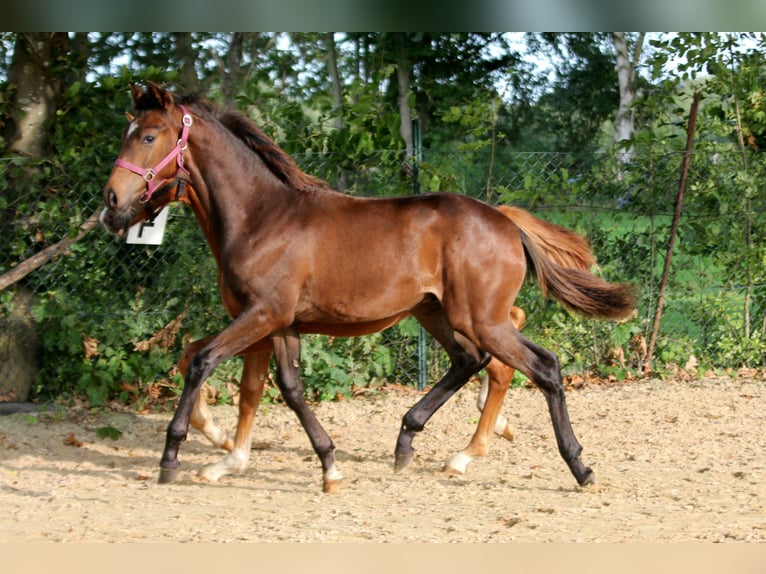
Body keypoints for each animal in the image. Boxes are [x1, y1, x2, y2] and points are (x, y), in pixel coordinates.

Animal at [100, 82, 636, 496]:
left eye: (148, 136)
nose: (111, 202)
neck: (261, 217)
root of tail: (504, 219)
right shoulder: (277, 322)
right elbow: (275, 386)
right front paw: (310, 464)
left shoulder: (263, 314)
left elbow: (205, 362)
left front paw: (174, 455)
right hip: (436, 312)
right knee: (471, 361)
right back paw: (415, 444)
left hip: (480, 317)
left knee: (542, 366)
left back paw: (577, 467)